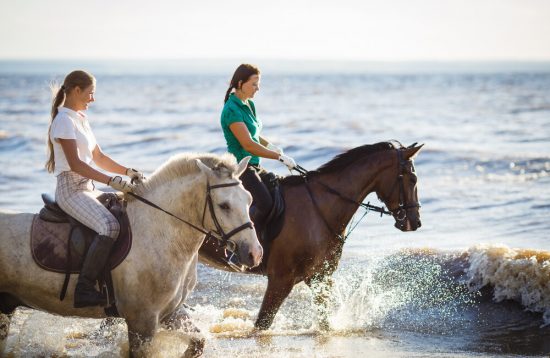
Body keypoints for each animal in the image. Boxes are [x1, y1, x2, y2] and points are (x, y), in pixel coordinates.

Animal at [0, 152, 264, 356]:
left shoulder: (170, 312)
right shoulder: (141, 321)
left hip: (6, 306)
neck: (159, 229)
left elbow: (198, 342)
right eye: (224, 206)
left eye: (250, 199)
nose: (254, 253)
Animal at [201, 142, 424, 330]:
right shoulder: (281, 279)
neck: (321, 208)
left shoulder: (318, 277)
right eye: (413, 179)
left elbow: (325, 324)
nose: (415, 222)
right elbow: (262, 324)